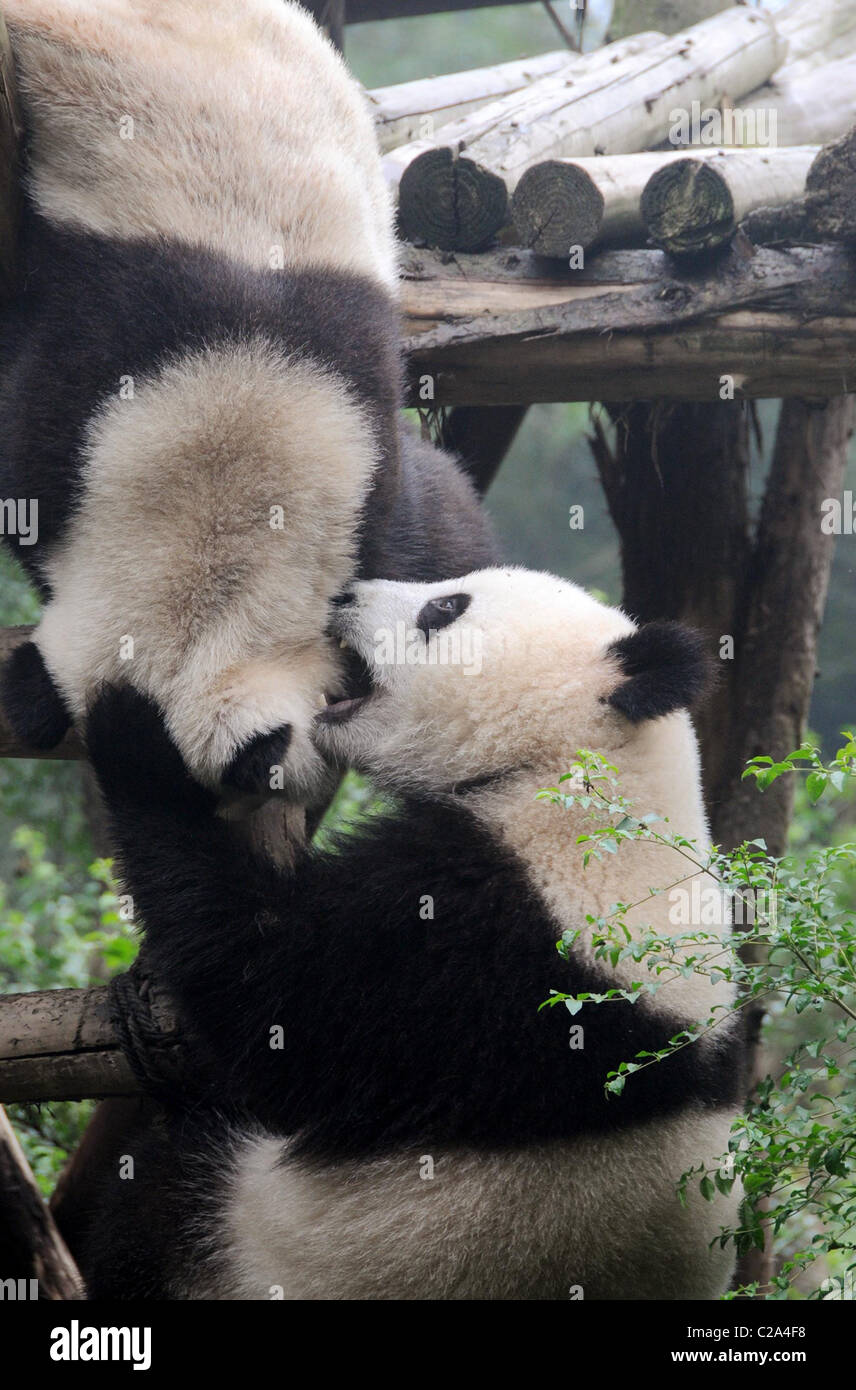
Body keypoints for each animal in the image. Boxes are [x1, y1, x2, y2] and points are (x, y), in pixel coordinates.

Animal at [81, 567, 750, 1301]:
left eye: (445, 608)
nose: (344, 595)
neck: (578, 769)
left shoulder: (494, 943)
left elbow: (276, 994)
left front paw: (131, 737)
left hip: (264, 1245)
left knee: (156, 1205)